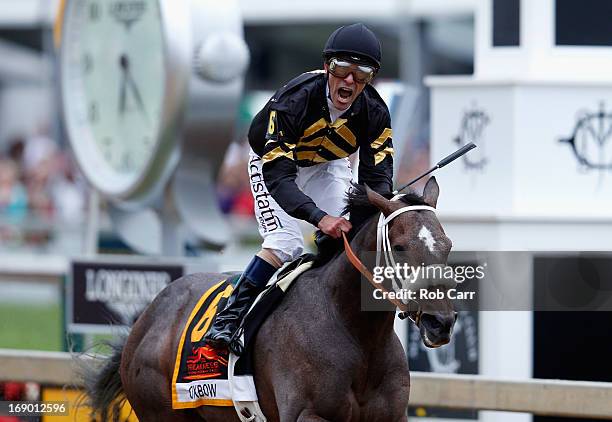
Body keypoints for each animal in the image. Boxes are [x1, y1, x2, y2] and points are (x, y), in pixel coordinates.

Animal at [82, 176, 454, 420]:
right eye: (401, 247)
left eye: (447, 245)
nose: (441, 322)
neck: (355, 332)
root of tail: (148, 318)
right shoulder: (308, 414)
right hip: (160, 413)